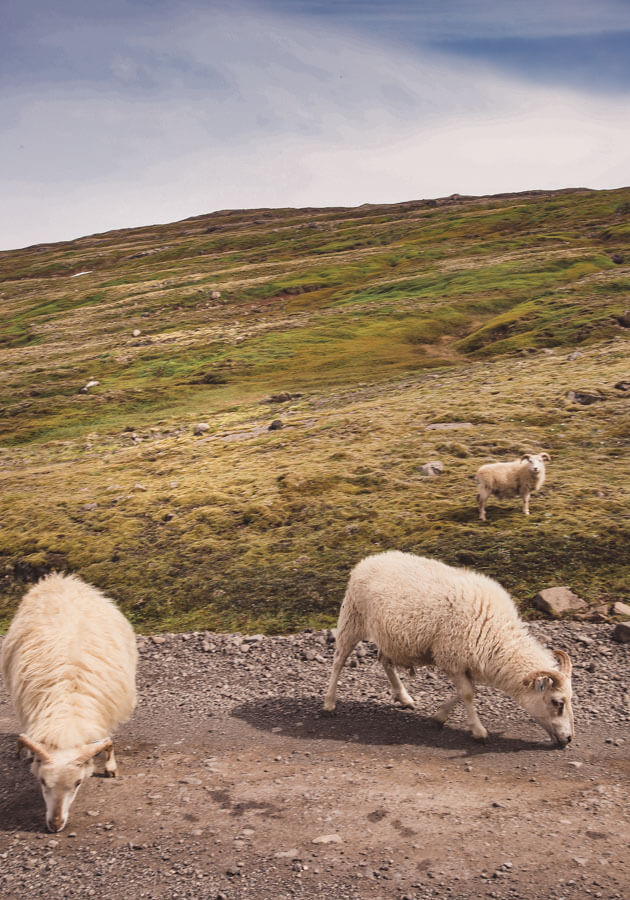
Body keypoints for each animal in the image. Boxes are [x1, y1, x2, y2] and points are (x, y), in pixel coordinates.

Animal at [1, 572, 138, 832]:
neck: (68, 713)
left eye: (78, 783)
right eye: (42, 781)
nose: (55, 825)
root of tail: (59, 578)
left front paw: (110, 766)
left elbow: (107, 742)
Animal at [326, 552, 576, 748]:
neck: (495, 636)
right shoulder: (452, 659)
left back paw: (403, 696)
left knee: (385, 661)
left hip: (390, 637)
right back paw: (329, 703)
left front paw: (439, 716)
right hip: (352, 618)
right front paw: (478, 731)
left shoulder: (463, 662)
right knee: (338, 660)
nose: (569, 739)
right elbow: (468, 694)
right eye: (557, 702)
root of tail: (369, 559)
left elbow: (465, 691)